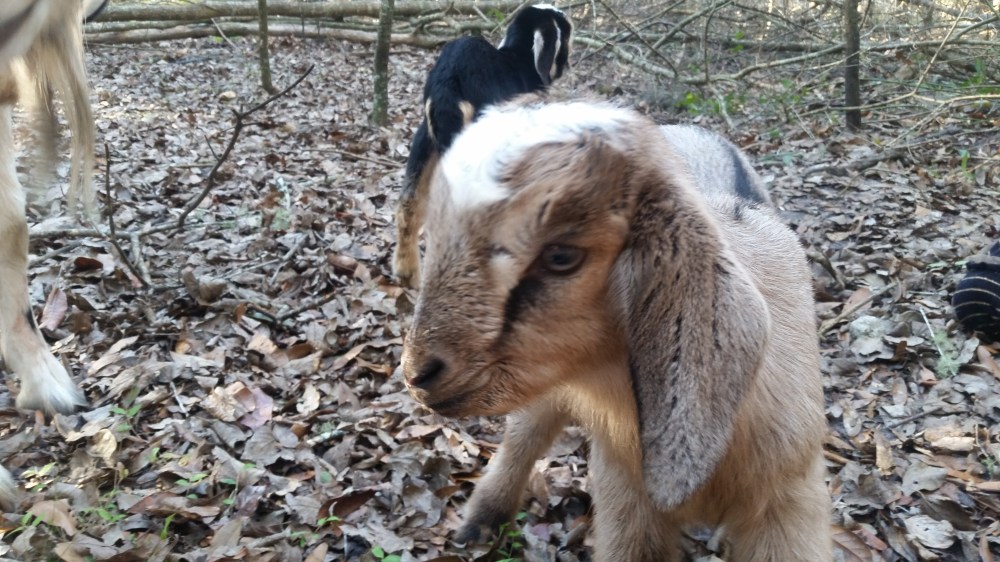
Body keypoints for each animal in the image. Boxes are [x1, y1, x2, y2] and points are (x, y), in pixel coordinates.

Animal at [400, 99, 831, 561]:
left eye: (562, 256)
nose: (416, 373)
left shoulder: (789, 508)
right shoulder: (625, 499)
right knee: (523, 439)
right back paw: (482, 519)